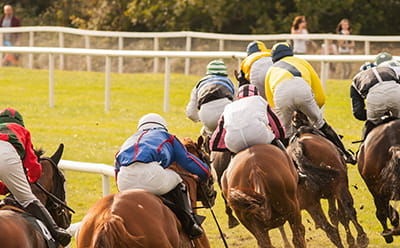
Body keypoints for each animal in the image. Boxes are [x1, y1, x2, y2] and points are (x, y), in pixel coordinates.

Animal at [288, 112, 368, 248]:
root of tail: (297, 146)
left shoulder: (326, 195)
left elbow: (333, 216)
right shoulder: (335, 190)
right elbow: (340, 215)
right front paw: (352, 241)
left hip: (310, 203)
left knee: (328, 229)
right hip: (339, 185)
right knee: (348, 209)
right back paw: (362, 238)